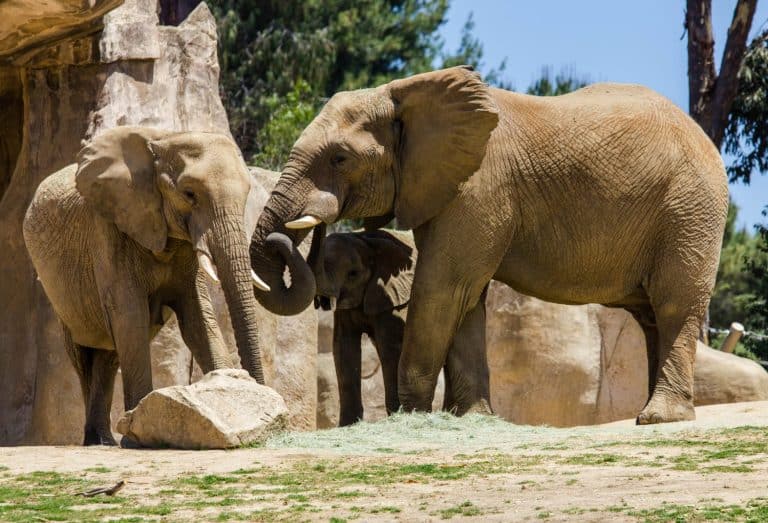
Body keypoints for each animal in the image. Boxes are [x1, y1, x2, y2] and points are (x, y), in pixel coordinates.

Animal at [23, 126, 309, 446]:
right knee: (84, 353)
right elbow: (130, 314)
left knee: (109, 355)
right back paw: (98, 441)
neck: (165, 138)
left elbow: (197, 319)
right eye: (189, 194)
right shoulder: (109, 228)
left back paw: (105, 441)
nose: (273, 411)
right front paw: (136, 437)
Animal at [248, 66, 729, 425]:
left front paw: (413, 417)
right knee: (652, 316)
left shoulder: (479, 188)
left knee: (674, 304)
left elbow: (443, 287)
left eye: (340, 158)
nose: (310, 225)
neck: (407, 93)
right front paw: (469, 418)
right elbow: (465, 296)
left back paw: (660, 417)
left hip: (690, 209)